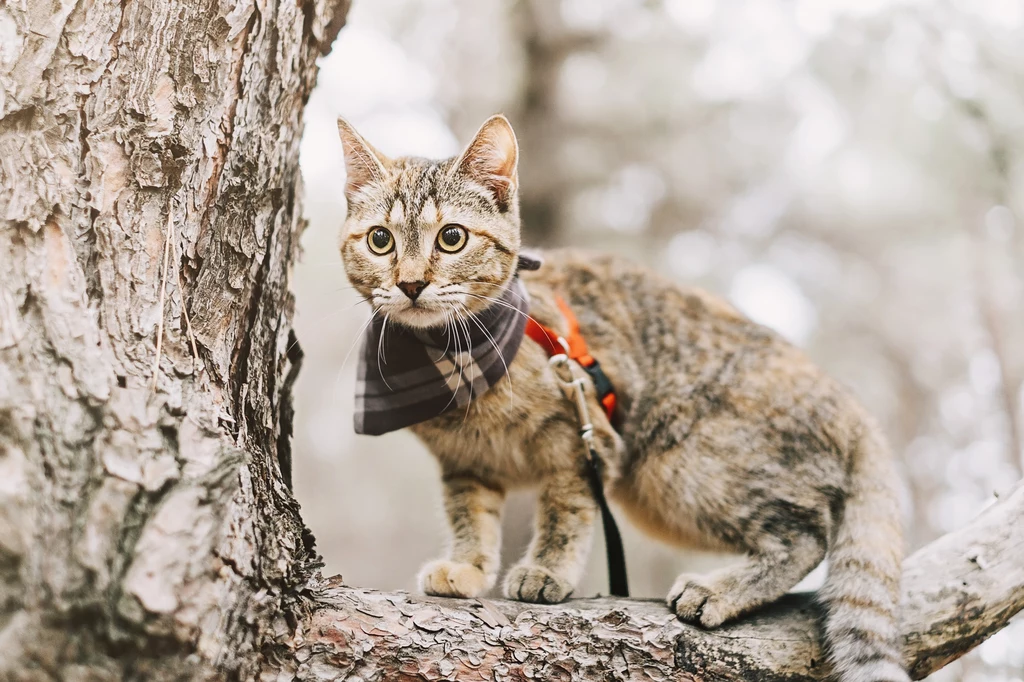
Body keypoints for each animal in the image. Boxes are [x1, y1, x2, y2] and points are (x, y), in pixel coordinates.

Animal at [337, 112, 913, 679]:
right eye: (380, 240)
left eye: (452, 237)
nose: (411, 283)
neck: (455, 358)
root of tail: (850, 404)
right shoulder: (465, 464)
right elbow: (470, 517)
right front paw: (468, 566)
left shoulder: (583, 440)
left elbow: (566, 511)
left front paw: (546, 569)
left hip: (686, 468)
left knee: (807, 533)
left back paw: (717, 590)